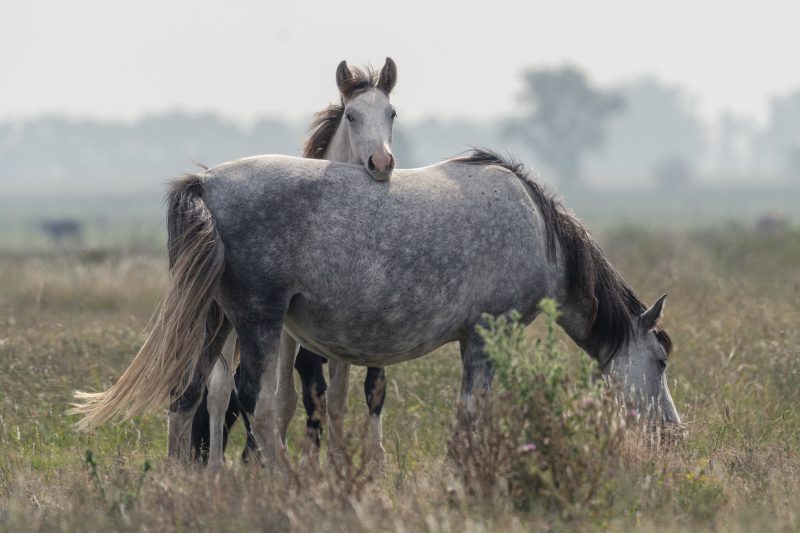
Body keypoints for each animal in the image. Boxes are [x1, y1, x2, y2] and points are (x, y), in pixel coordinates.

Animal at [72, 150, 680, 466]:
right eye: (661, 361)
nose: (673, 435)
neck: (538, 230)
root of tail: (204, 182)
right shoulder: (483, 337)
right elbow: (472, 412)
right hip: (256, 321)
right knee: (253, 402)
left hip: (212, 322)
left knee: (188, 395)